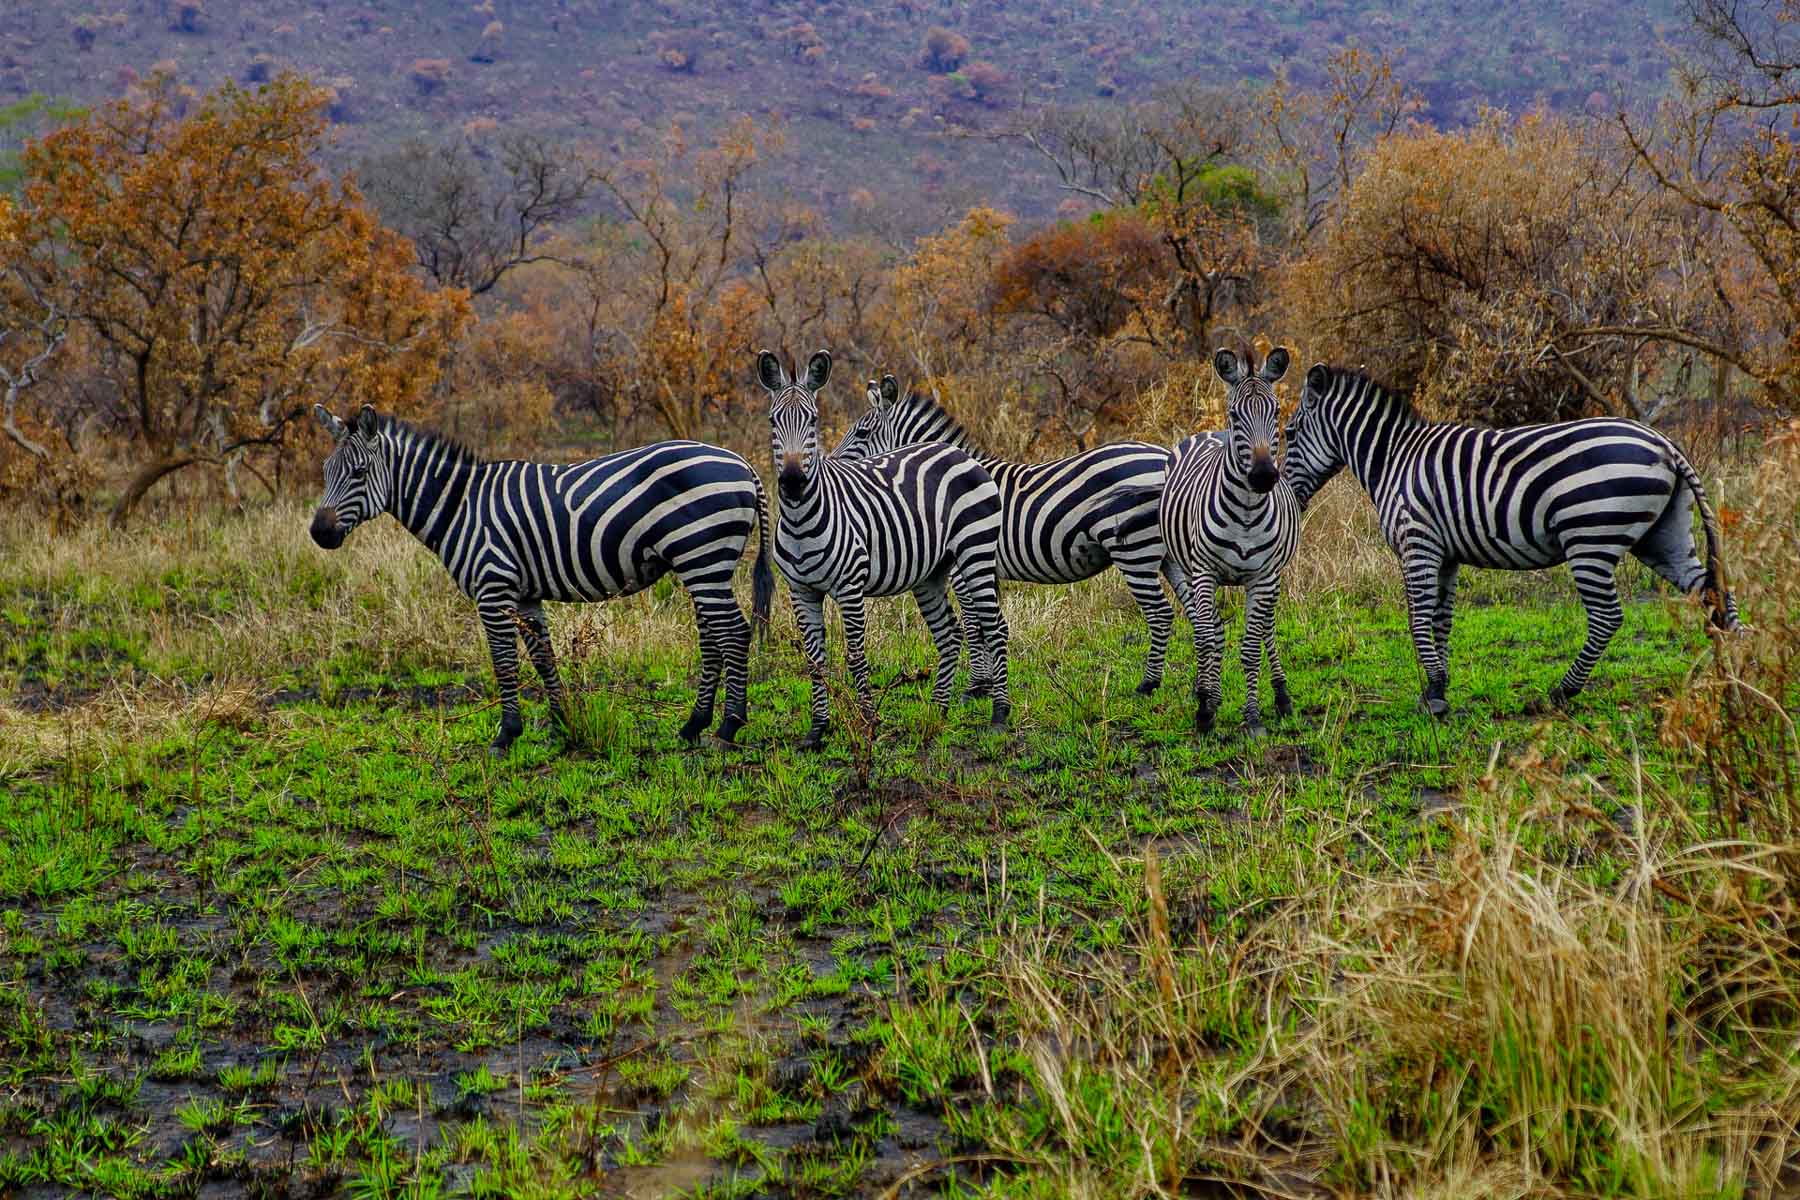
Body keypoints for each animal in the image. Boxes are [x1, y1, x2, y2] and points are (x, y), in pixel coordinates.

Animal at [309, 408, 774, 755]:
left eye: (359, 472)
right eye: (326, 471)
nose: (319, 533)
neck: (459, 507)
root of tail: (742, 463)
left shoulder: (492, 588)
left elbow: (503, 661)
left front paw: (505, 735)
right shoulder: (526, 594)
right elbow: (543, 657)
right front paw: (561, 726)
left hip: (703, 556)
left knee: (734, 633)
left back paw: (729, 726)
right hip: (700, 565)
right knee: (712, 638)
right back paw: (694, 725)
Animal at [759, 347, 1015, 744]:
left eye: (813, 420)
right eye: (773, 421)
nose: (792, 481)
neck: (803, 521)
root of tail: (955, 452)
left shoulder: (850, 587)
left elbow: (855, 657)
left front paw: (867, 722)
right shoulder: (800, 591)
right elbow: (815, 662)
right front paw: (817, 731)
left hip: (974, 556)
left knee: (994, 626)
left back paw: (999, 714)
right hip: (930, 573)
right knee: (949, 634)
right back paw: (937, 712)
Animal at [831, 372, 1195, 694]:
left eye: (861, 433)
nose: (829, 466)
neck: (940, 482)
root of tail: (1164, 455)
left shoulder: (963, 567)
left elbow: (975, 624)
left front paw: (976, 687)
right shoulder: (982, 566)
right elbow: (989, 622)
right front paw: (990, 683)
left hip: (1135, 551)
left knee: (1161, 613)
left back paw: (1148, 685)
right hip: (1166, 554)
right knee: (1194, 609)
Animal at [1159, 347, 1303, 737]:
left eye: (1276, 412)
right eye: (1236, 414)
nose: (1264, 476)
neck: (1247, 512)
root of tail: (1211, 431)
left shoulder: (1264, 577)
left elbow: (1252, 646)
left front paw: (1252, 718)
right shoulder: (1204, 572)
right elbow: (1207, 638)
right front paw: (1206, 709)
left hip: (1274, 577)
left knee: (1266, 629)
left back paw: (1282, 696)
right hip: (1187, 568)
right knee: (1208, 628)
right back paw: (1206, 691)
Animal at [1288, 361, 1735, 719]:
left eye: (1289, 433)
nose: (1288, 494)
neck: (1394, 460)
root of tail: (1664, 443)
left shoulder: (1418, 543)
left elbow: (1418, 619)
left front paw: (1433, 695)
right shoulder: (1445, 554)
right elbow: (1441, 620)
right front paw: (1439, 687)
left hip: (1590, 538)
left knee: (1607, 616)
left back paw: (1561, 693)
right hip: (1662, 536)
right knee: (1713, 592)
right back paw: (1738, 680)